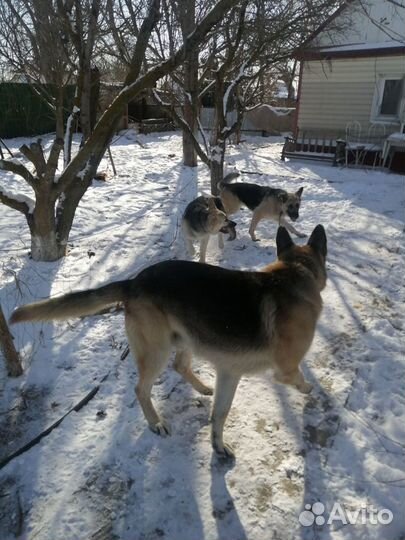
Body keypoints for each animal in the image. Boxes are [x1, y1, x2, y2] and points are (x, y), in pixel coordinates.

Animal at [9, 225, 326, 460]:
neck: (295, 272)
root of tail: (134, 282)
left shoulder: (229, 373)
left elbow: (219, 415)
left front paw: (217, 445)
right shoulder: (284, 369)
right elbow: (298, 379)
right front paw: (310, 390)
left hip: (185, 339)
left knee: (179, 366)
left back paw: (201, 387)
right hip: (156, 352)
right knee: (142, 388)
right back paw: (156, 422)